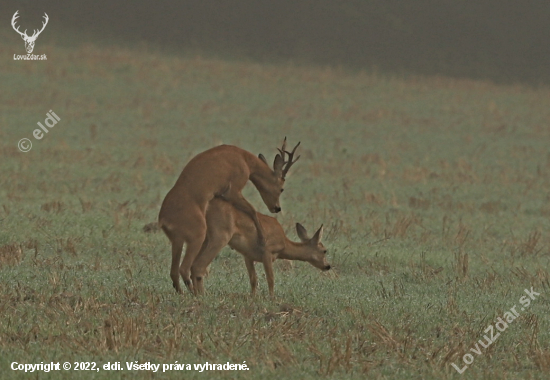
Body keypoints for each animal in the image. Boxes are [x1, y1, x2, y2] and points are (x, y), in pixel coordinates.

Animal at [158, 139, 302, 294]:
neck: (243, 158)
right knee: (185, 268)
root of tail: (163, 220)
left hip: (177, 242)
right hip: (197, 236)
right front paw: (262, 238)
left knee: (174, 272)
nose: (277, 208)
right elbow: (252, 210)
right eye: (282, 188)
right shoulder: (232, 190)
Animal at [192, 197, 330, 298]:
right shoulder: (267, 252)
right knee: (198, 266)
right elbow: (271, 278)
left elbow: (253, 279)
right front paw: (272, 298)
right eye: (324, 250)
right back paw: (201, 295)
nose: (328, 266)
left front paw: (253, 297)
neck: (284, 244)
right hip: (219, 236)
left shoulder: (248, 256)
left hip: (206, 237)